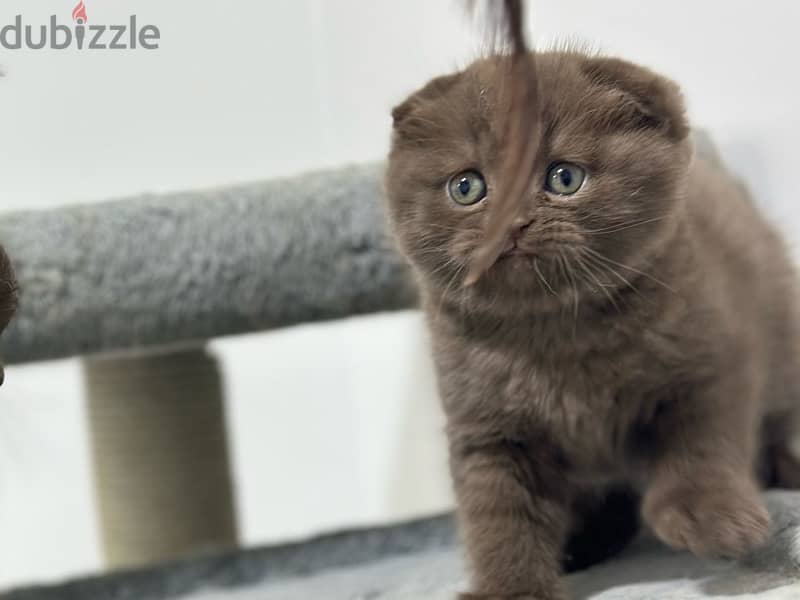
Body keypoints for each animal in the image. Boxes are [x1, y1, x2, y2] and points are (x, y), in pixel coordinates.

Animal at [384, 50, 800, 600]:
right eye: (467, 187)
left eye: (563, 177)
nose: (511, 223)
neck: (556, 333)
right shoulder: (487, 425)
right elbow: (499, 512)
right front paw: (511, 587)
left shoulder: (708, 362)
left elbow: (703, 441)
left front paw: (712, 516)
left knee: (776, 428)